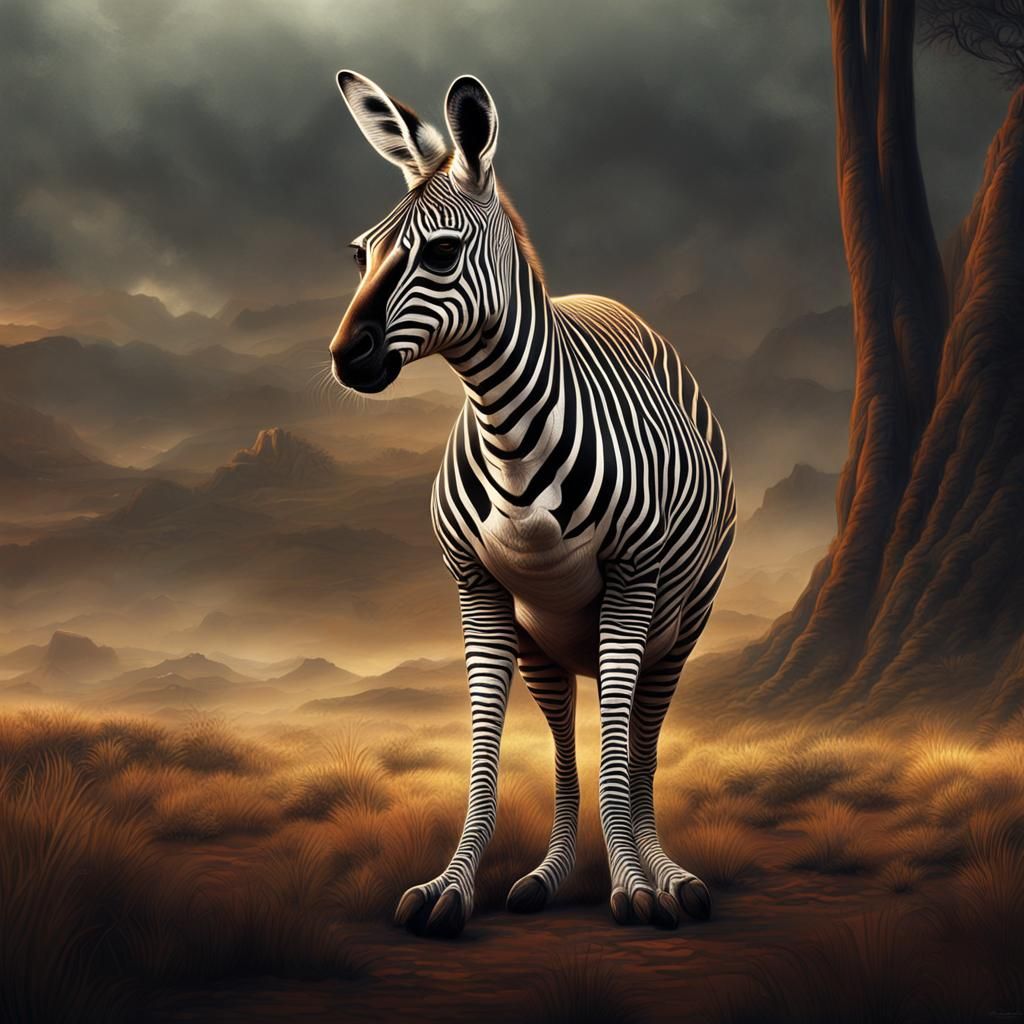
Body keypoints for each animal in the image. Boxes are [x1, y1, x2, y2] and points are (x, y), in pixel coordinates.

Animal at [330, 70, 736, 937]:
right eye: (359, 254)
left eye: (441, 252)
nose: (346, 358)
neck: (507, 426)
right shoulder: (478, 589)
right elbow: (487, 751)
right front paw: (451, 886)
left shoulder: (631, 582)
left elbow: (620, 757)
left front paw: (637, 885)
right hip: (546, 641)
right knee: (565, 744)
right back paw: (548, 876)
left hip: (676, 628)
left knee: (639, 744)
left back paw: (666, 872)